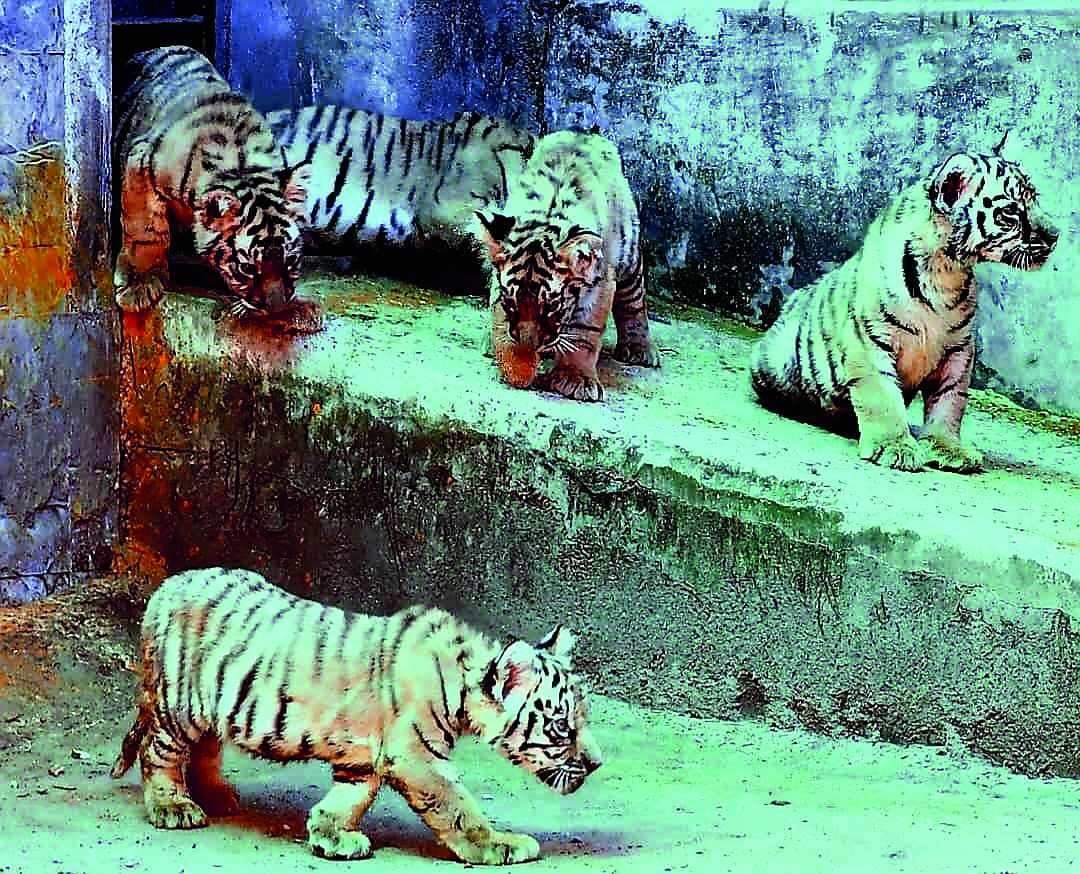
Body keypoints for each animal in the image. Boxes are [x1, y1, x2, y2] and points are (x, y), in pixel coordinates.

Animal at [111, 567, 600, 866]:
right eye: (562, 725)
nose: (597, 764)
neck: (462, 680)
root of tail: (166, 586)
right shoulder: (416, 758)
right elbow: (458, 807)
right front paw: (500, 846)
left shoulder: (368, 758)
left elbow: (351, 798)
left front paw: (329, 834)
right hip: (179, 707)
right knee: (158, 753)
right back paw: (174, 806)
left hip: (216, 708)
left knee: (205, 749)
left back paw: (215, 795)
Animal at [113, 46, 321, 332]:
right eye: (247, 268)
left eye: (289, 260)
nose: (275, 308)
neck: (243, 165)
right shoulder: (142, 164)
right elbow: (146, 230)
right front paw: (139, 285)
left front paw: (299, 308)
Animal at [477, 130, 660, 401]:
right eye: (511, 302)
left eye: (551, 307)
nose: (531, 346)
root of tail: (584, 132)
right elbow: (500, 320)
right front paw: (517, 366)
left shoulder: (601, 282)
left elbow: (585, 333)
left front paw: (576, 380)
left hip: (629, 256)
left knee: (634, 302)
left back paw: (640, 350)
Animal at [749, 135, 1057, 472]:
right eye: (1011, 212)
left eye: (1035, 199)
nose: (1055, 235)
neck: (946, 268)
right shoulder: (867, 340)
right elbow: (882, 396)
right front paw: (894, 447)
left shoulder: (959, 349)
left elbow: (951, 401)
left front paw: (948, 448)